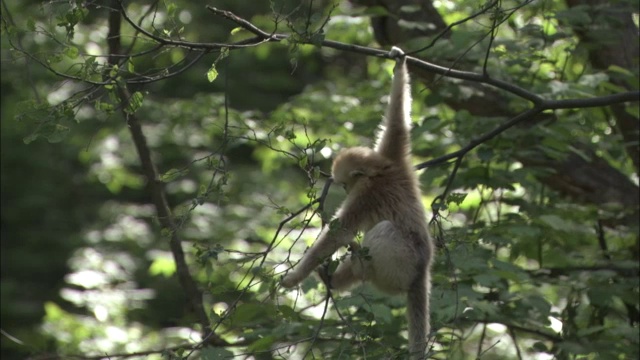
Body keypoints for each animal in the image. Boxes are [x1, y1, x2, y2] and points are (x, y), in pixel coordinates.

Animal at [282, 47, 436, 360]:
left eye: (344, 185)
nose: (342, 187)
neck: (379, 171)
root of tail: (422, 274)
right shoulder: (394, 156)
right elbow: (398, 122)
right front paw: (399, 63)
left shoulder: (366, 194)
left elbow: (339, 232)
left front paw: (294, 278)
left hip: (400, 268)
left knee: (383, 232)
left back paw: (347, 274)